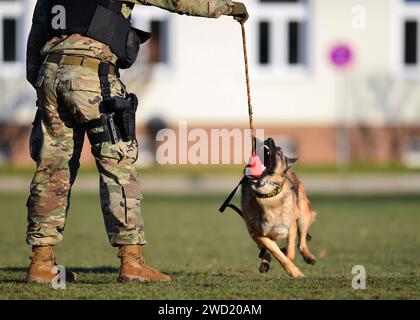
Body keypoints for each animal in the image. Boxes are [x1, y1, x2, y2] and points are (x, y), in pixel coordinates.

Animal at [241, 138, 316, 278]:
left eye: (280, 152)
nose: (269, 139)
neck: (267, 194)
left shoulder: (291, 226)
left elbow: (290, 252)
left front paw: (292, 264)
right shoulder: (260, 234)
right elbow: (279, 255)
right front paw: (294, 271)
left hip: (303, 216)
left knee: (301, 243)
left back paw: (309, 257)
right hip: (251, 231)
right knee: (265, 251)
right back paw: (265, 263)